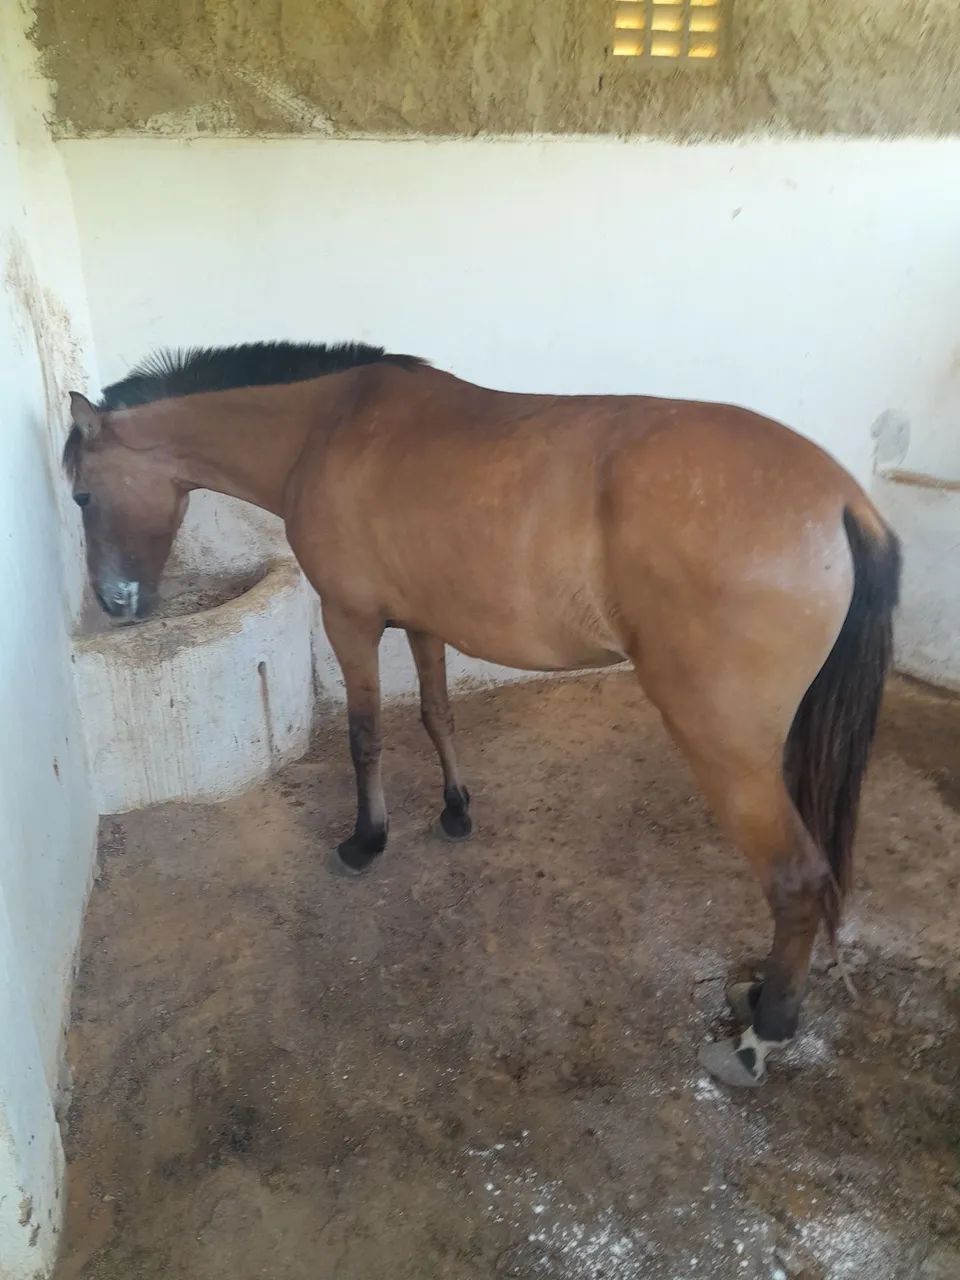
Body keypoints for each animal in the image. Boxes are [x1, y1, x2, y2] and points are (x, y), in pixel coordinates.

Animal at [63, 341, 900, 1088]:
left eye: (80, 494)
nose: (116, 602)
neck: (326, 427)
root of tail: (842, 500)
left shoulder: (350, 621)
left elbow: (365, 736)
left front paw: (367, 839)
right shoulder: (424, 622)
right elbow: (437, 716)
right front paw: (455, 809)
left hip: (726, 749)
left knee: (796, 881)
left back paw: (763, 1034)